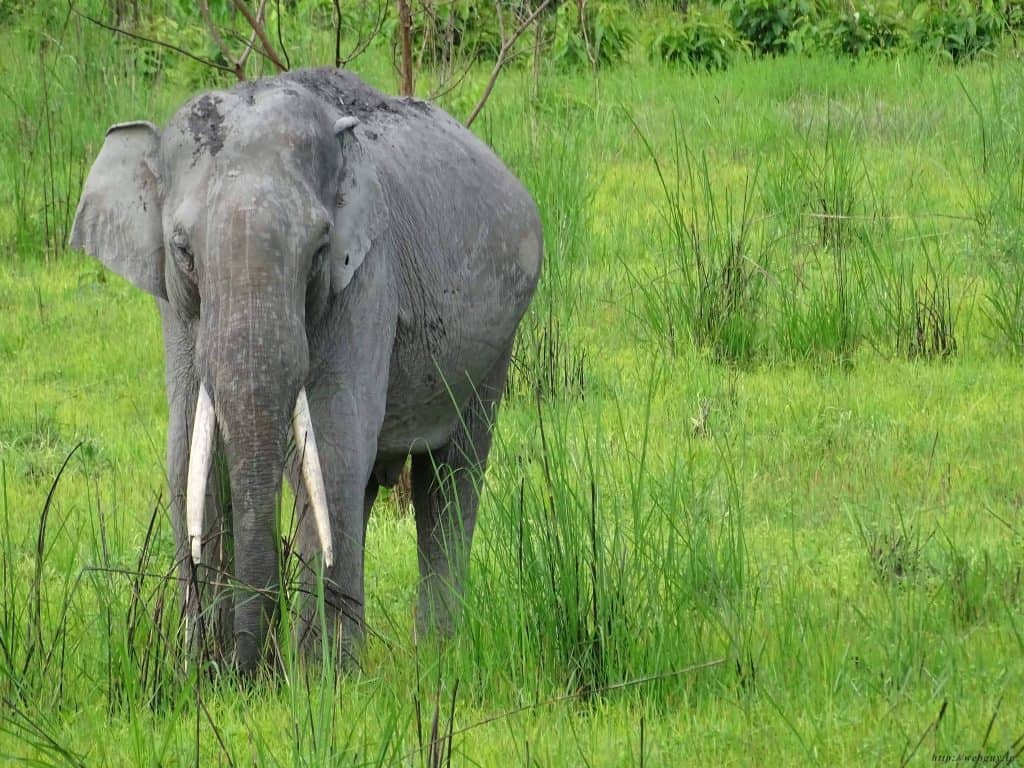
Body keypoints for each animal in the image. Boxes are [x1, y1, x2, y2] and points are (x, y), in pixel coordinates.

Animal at [68, 69, 540, 675]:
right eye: (183, 250)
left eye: (319, 248)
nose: (249, 672)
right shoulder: (173, 304)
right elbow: (188, 456)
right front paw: (202, 673)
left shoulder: (366, 276)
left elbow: (333, 448)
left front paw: (323, 680)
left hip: (496, 345)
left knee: (450, 476)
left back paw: (435, 656)